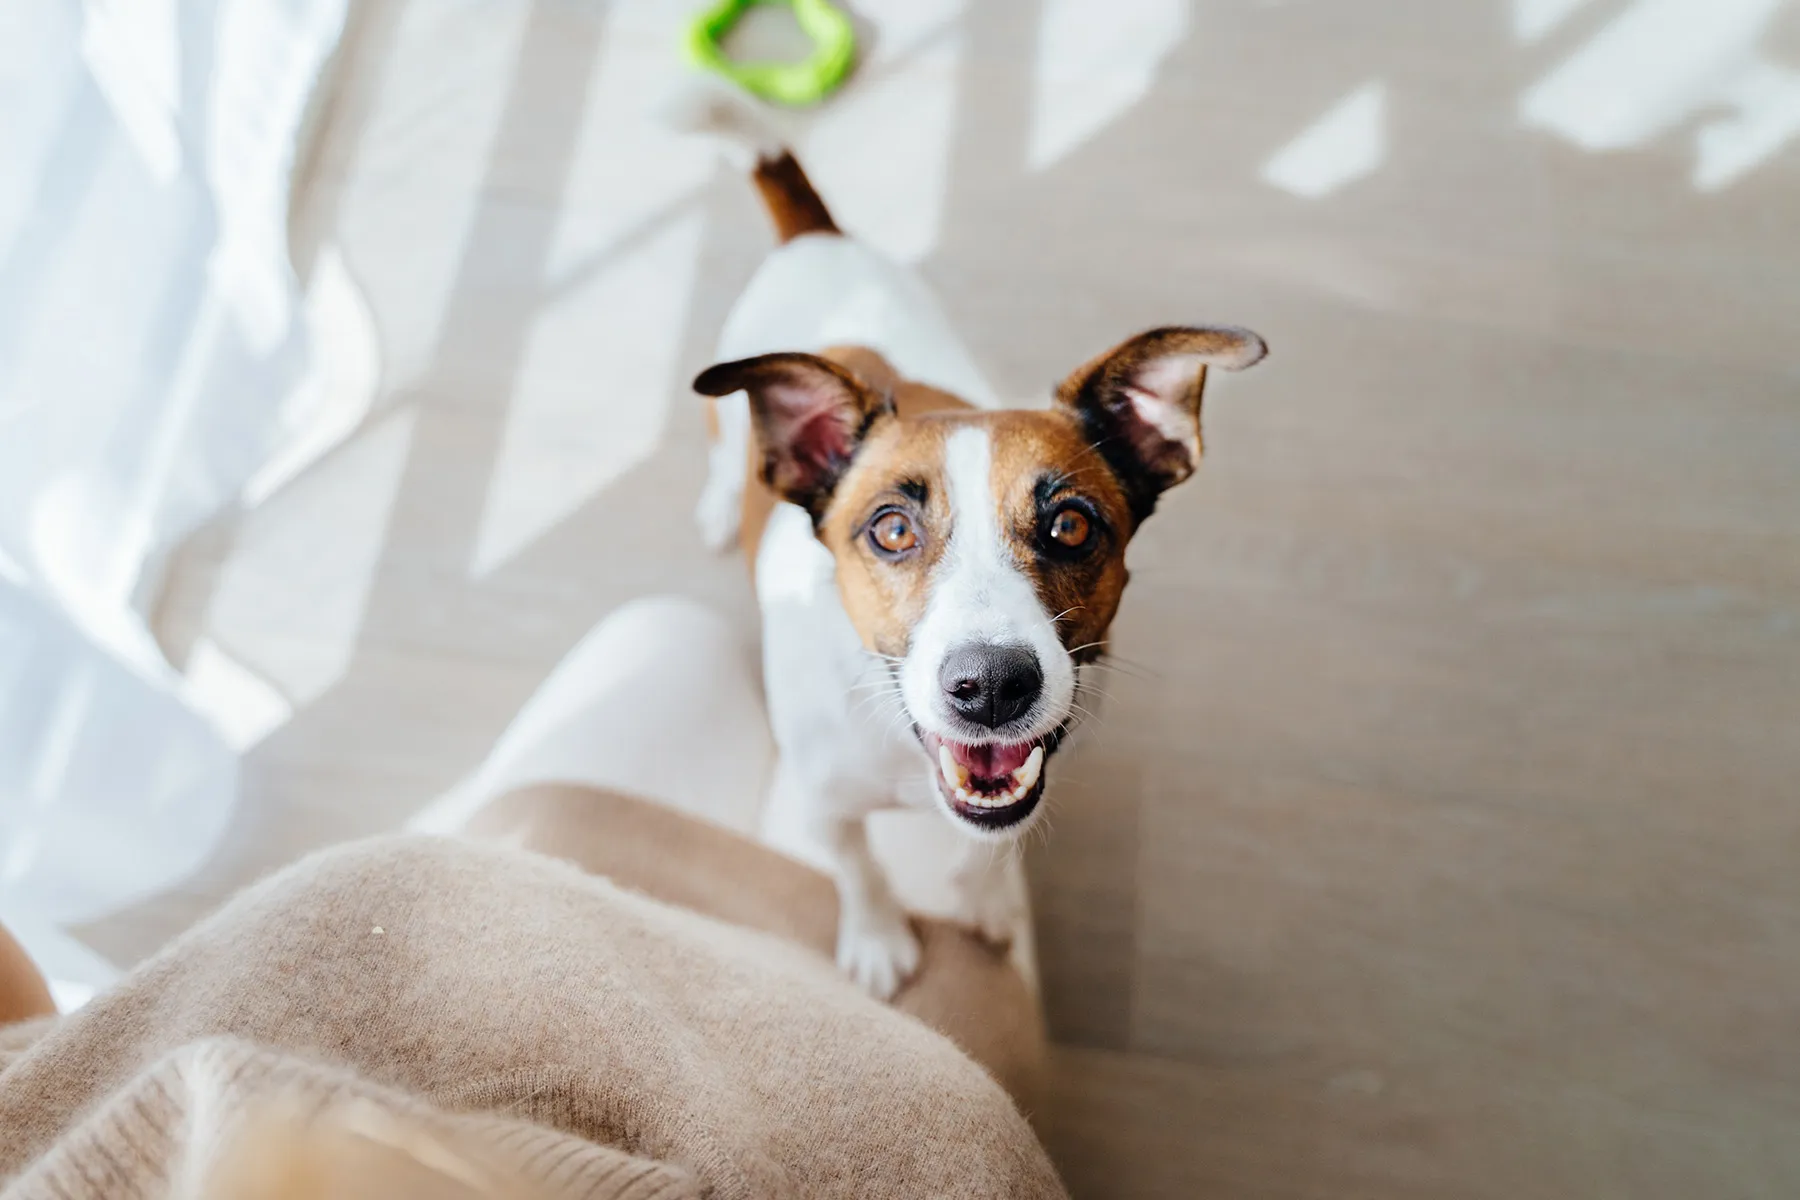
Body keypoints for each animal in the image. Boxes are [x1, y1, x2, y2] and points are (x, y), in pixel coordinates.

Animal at [676, 94, 1267, 1000]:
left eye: (1071, 525)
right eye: (891, 529)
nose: (991, 688)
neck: (904, 751)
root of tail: (816, 237)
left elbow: (995, 846)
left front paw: (985, 905)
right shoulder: (824, 805)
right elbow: (859, 870)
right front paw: (879, 938)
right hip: (725, 415)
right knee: (720, 454)